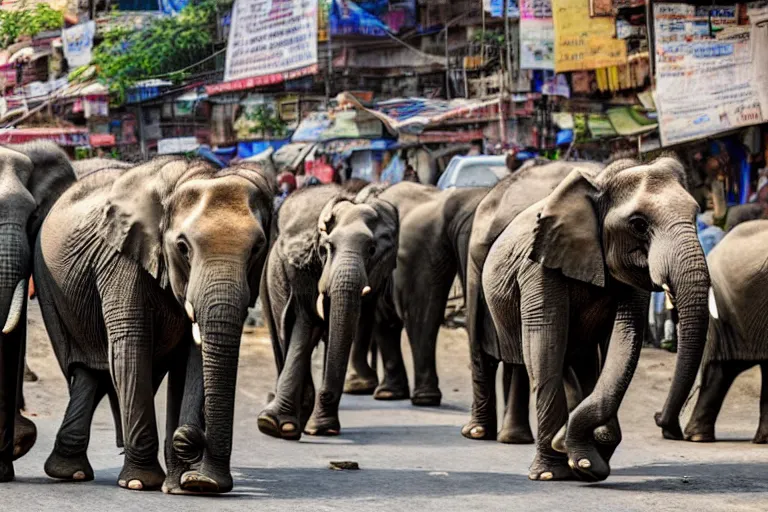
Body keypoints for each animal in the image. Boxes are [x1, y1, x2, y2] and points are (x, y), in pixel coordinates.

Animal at [36, 156, 278, 492]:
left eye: (257, 248)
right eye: (183, 247)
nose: (189, 437)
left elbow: (194, 355)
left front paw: (191, 484)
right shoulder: (122, 260)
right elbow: (131, 346)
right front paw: (141, 482)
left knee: (98, 375)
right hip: (49, 287)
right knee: (87, 368)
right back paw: (72, 474)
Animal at [260, 184, 400, 440]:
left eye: (372, 249)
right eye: (328, 248)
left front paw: (321, 429)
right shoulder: (301, 269)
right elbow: (304, 324)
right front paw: (273, 425)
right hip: (267, 281)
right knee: (281, 335)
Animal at [476, 155, 712, 480]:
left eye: (696, 215)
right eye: (639, 225)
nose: (659, 419)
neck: (599, 184)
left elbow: (624, 341)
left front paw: (584, 460)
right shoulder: (538, 267)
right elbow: (545, 340)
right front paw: (554, 471)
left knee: (582, 362)